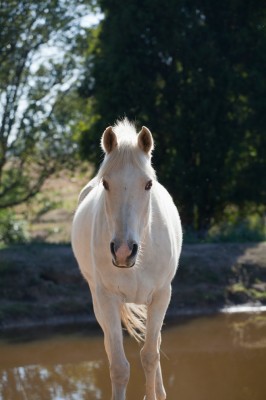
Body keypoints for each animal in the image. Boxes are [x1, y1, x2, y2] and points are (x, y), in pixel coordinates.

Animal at [70, 119, 183, 400]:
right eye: (106, 184)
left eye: (148, 184)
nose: (123, 251)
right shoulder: (107, 299)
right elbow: (119, 366)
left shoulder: (162, 295)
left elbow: (150, 356)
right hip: (98, 299)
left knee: (155, 345)